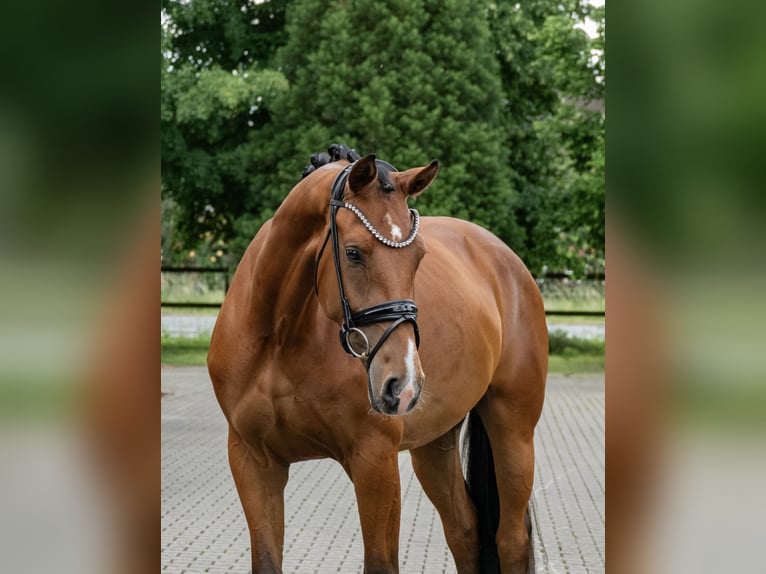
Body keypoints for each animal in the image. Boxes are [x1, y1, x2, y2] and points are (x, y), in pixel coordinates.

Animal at [207, 146, 548, 572]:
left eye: (419, 257)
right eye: (353, 253)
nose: (403, 383)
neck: (279, 338)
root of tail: (506, 260)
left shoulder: (374, 462)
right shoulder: (254, 463)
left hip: (512, 429)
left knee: (510, 540)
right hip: (435, 444)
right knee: (465, 531)